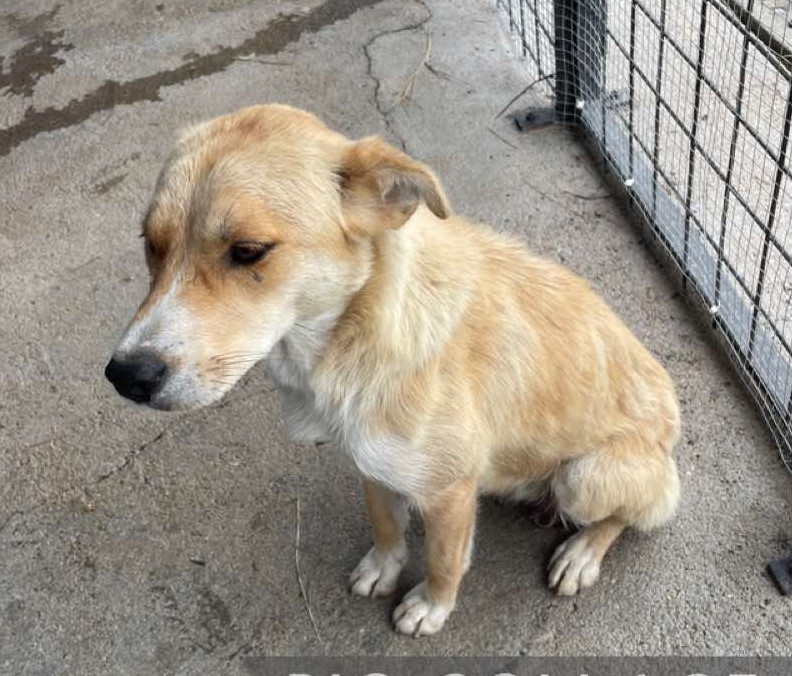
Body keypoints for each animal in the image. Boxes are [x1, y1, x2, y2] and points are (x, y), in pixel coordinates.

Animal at [105, 104, 681, 637]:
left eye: (248, 251)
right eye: (151, 244)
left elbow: (445, 560)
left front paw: (431, 606)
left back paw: (581, 552)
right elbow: (385, 523)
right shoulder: (370, 460)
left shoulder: (449, 491)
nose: (126, 376)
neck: (352, 337)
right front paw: (384, 567)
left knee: (632, 514)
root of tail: (672, 419)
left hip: (585, 477)